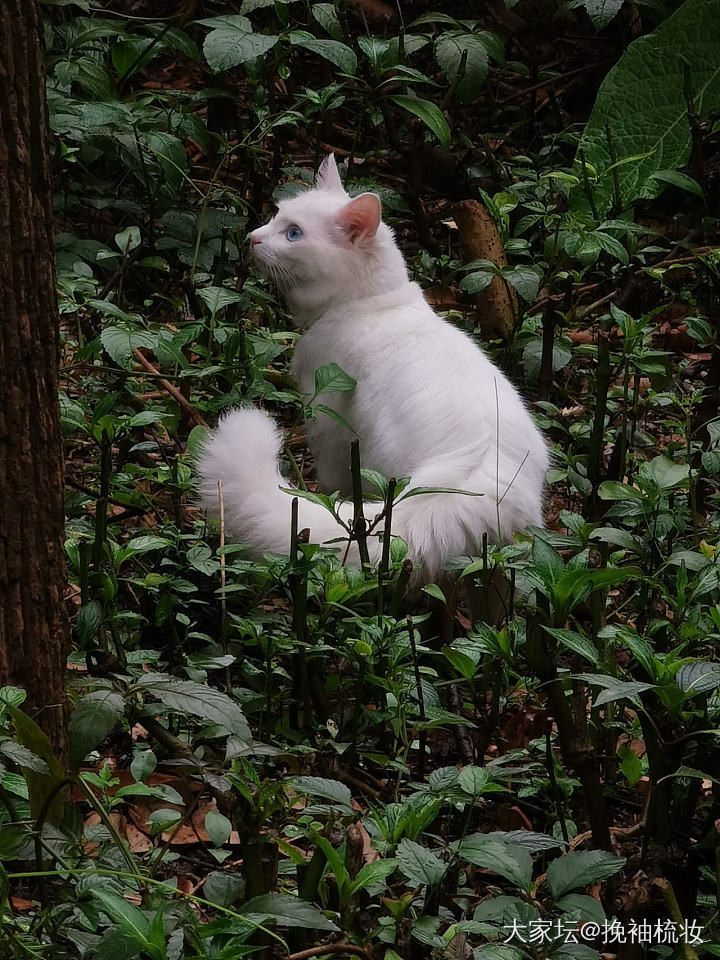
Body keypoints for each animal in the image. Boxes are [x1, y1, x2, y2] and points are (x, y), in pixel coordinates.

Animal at [197, 154, 544, 580]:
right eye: (276, 217)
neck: (371, 302)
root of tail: (472, 483)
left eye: (293, 234)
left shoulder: (326, 412)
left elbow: (331, 479)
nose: (253, 238)